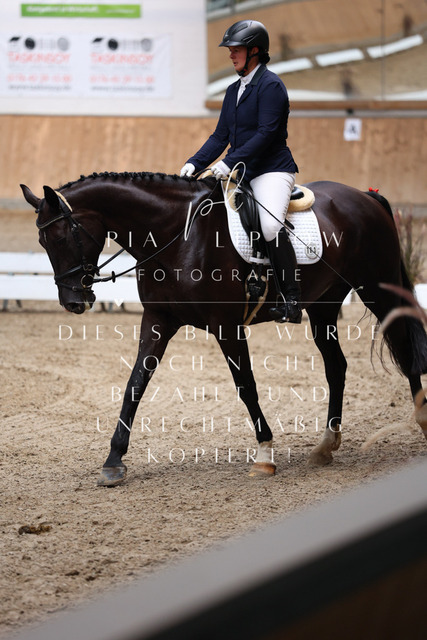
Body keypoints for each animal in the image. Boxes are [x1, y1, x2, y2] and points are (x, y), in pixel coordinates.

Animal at [21, 172, 427, 486]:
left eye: (60, 237)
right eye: (41, 241)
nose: (74, 302)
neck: (177, 235)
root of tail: (366, 196)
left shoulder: (227, 326)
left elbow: (246, 386)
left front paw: (265, 455)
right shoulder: (158, 319)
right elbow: (135, 383)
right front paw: (113, 462)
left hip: (377, 288)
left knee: (406, 350)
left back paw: (421, 420)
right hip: (323, 307)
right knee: (336, 367)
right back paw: (326, 446)